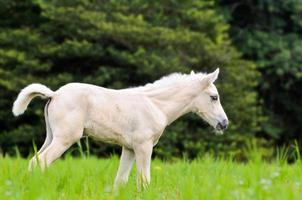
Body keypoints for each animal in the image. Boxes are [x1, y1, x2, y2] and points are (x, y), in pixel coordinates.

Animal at [12, 68, 229, 188]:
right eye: (214, 97)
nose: (224, 123)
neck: (156, 105)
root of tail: (54, 94)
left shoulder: (129, 148)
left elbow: (121, 180)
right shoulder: (143, 147)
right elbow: (144, 180)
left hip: (51, 137)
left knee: (34, 161)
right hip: (65, 139)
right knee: (41, 162)